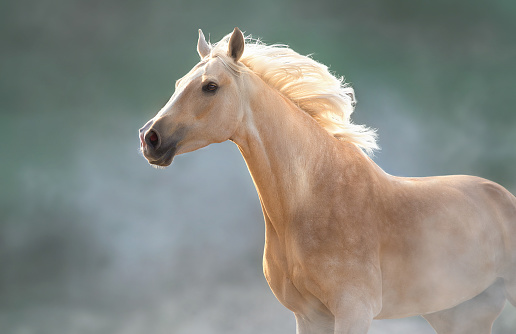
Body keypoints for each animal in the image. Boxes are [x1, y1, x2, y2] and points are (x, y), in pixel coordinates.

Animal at [138, 27, 516, 332]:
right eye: (178, 84)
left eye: (210, 86)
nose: (149, 138)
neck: (313, 199)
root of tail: (503, 196)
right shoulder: (309, 315)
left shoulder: (353, 311)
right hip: (459, 314)